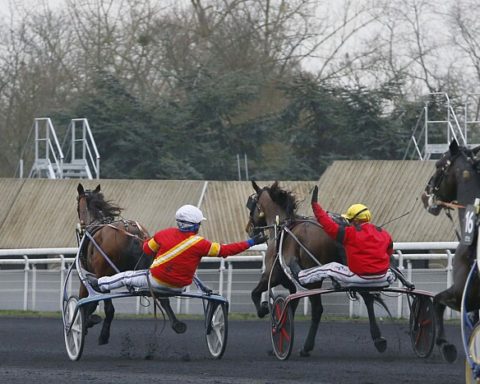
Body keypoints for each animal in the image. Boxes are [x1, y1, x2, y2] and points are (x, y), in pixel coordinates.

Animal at [76, 183, 186, 344]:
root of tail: (133, 233)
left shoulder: (86, 274)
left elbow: (85, 298)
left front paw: (84, 322)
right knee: (162, 297)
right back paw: (177, 324)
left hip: (103, 272)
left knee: (109, 308)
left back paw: (102, 333)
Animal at [246, 180, 388, 356]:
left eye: (253, 204)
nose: (249, 228)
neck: (282, 228)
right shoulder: (290, 283)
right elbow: (290, 304)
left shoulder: (271, 276)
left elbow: (255, 293)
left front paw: (264, 310)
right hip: (353, 271)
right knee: (367, 298)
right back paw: (378, 339)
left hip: (313, 278)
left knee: (318, 309)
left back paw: (306, 347)